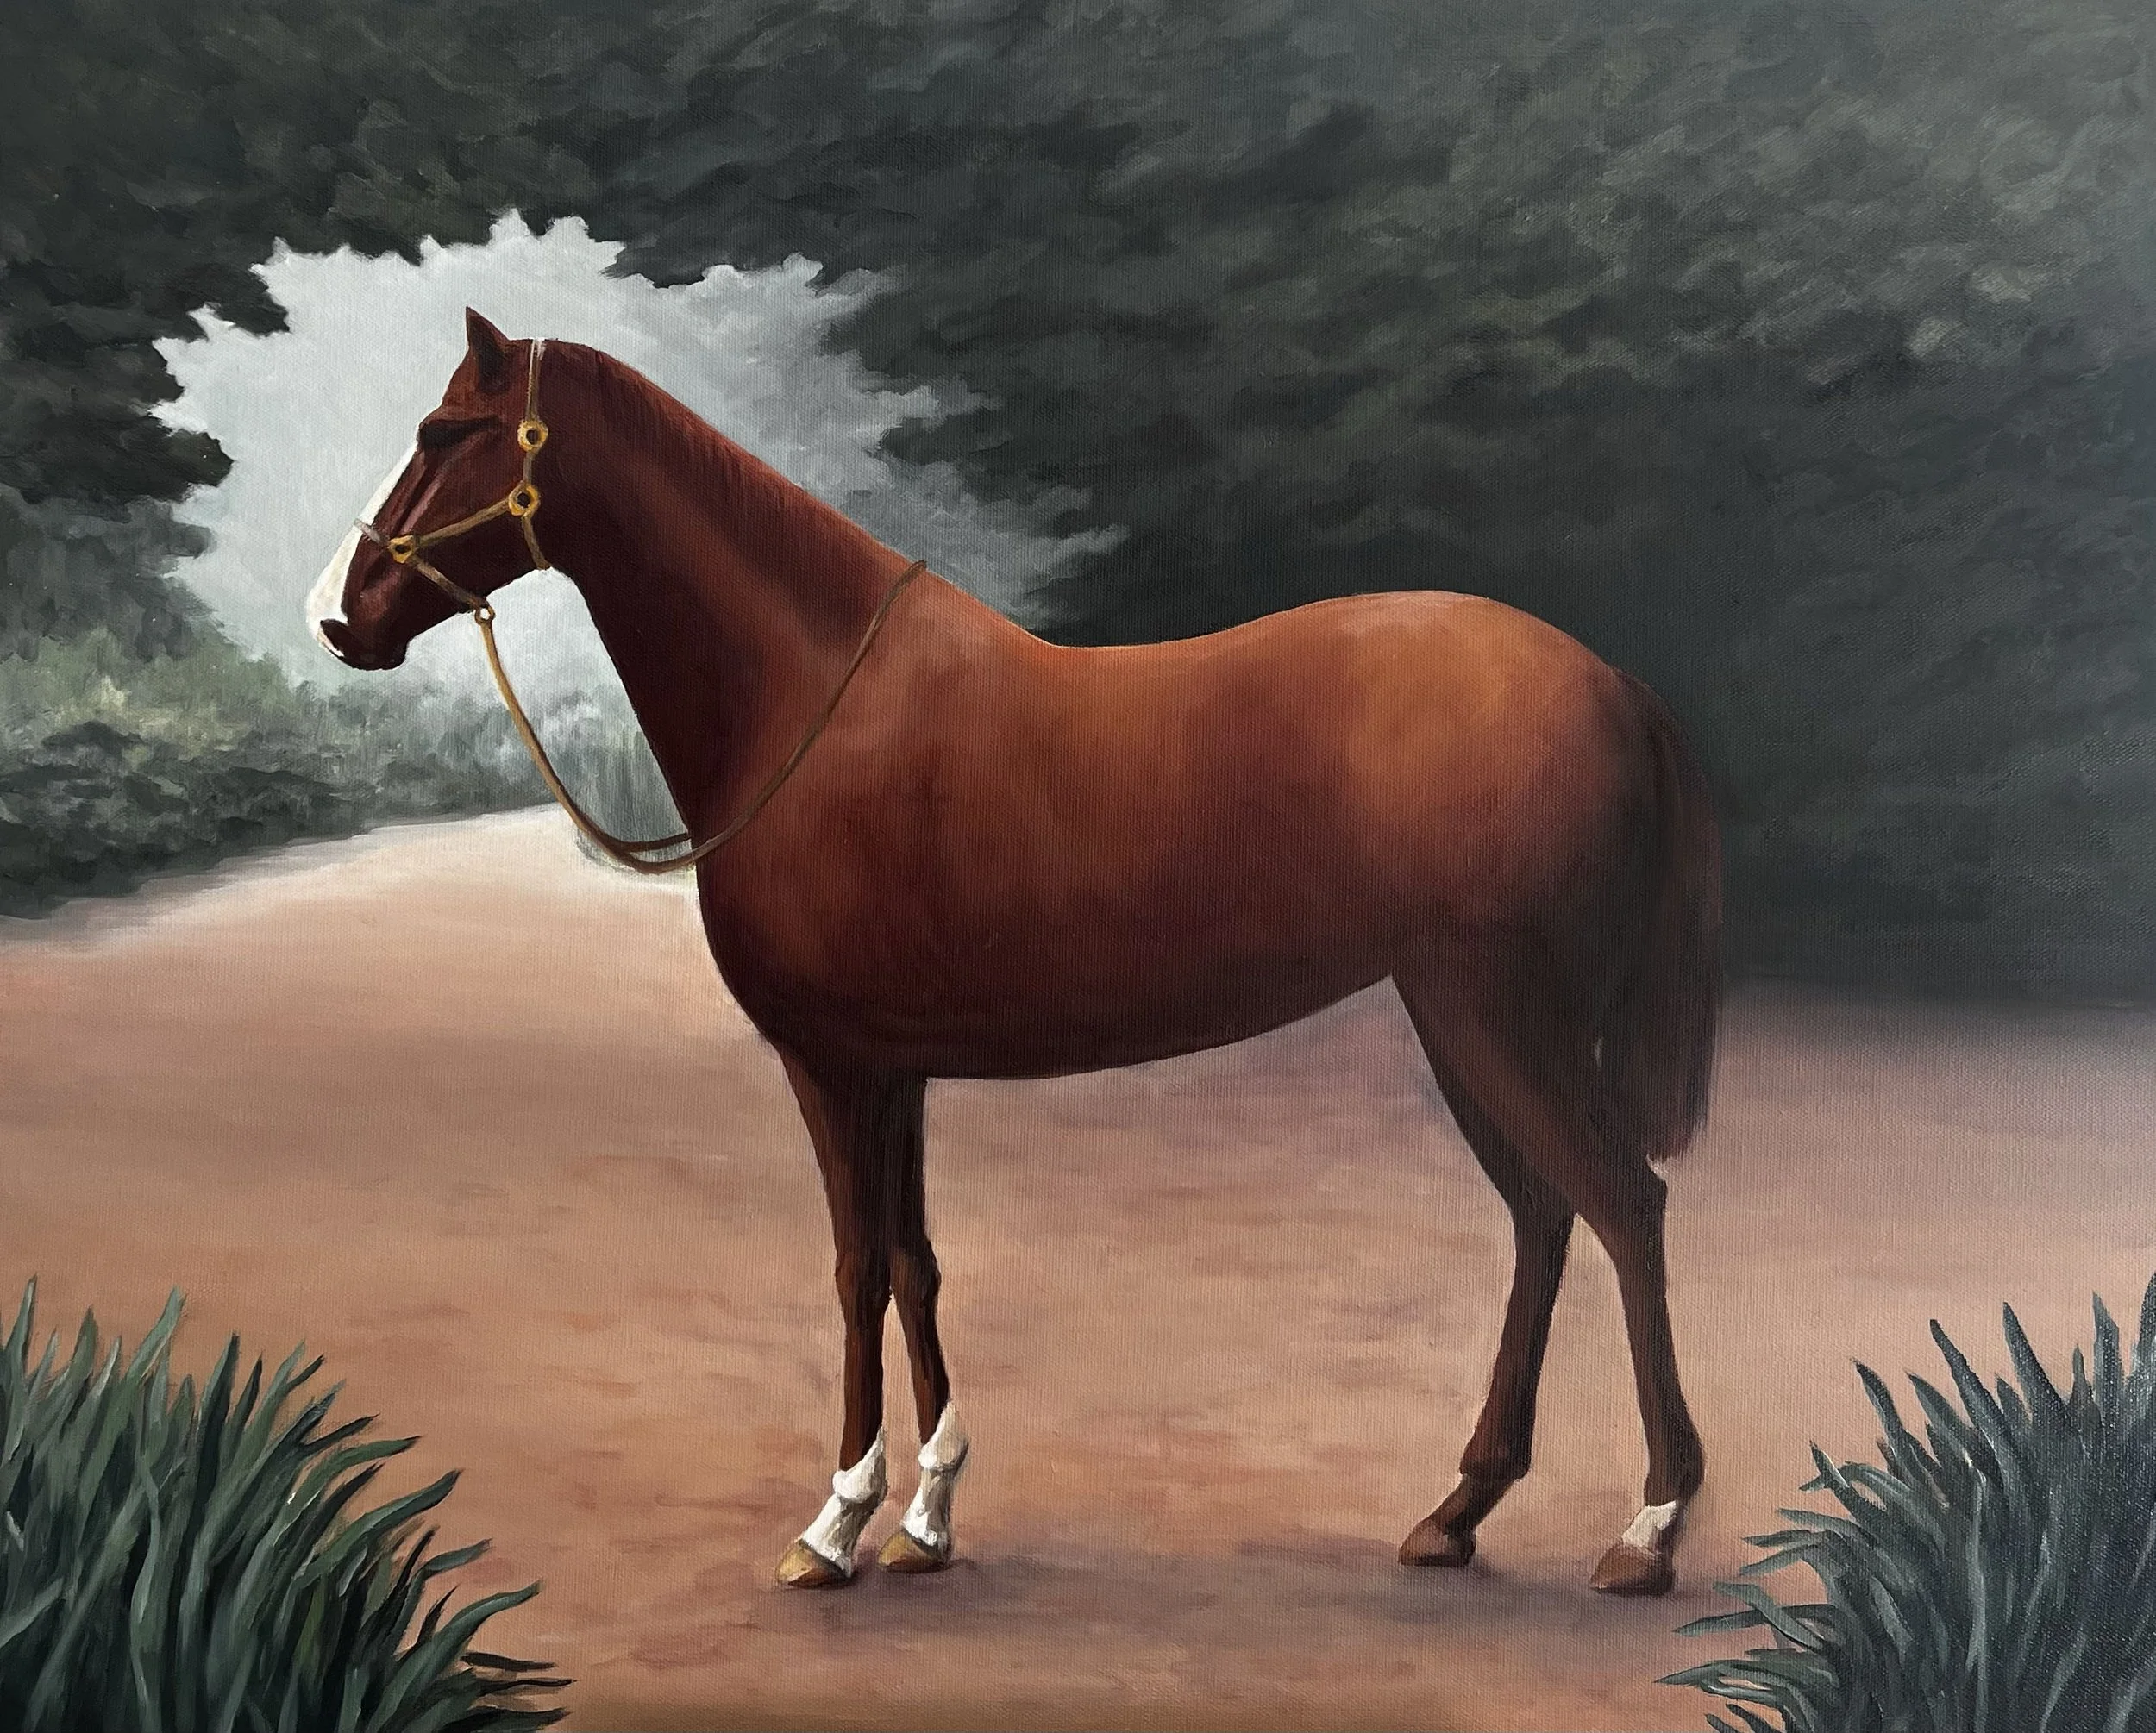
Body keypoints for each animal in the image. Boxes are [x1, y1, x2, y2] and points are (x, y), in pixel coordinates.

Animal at [309, 309, 1722, 1597]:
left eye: (445, 434)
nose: (339, 615)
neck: (812, 700)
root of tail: (1615, 685)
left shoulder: (831, 1065)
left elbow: (855, 1269)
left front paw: (836, 1523)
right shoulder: (896, 1067)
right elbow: (916, 1264)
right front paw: (929, 1515)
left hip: (1501, 1016)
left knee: (1623, 1207)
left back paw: (1647, 1530)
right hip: (1458, 1019)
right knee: (1546, 1218)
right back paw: (1458, 1510)